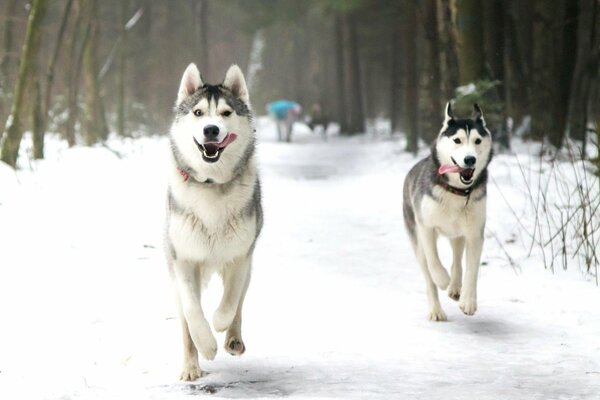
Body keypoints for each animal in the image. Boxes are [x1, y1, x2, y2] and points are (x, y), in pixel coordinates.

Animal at [165, 64, 262, 380]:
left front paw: (220, 324)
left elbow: (230, 302)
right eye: (198, 113)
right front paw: (206, 344)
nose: (211, 129)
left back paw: (233, 339)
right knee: (185, 320)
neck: (211, 183)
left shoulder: (240, 256)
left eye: (225, 113)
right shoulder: (183, 259)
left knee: (239, 303)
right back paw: (191, 366)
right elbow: (193, 311)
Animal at [404, 103, 492, 322]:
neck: (456, 192)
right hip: (416, 237)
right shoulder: (425, 226)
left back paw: (455, 287)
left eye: (477, 140)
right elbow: (433, 261)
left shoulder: (475, 232)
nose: (470, 159)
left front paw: (468, 301)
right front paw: (442, 278)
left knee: (457, 258)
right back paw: (436, 309)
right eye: (457, 140)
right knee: (427, 274)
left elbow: (471, 269)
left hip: (458, 232)